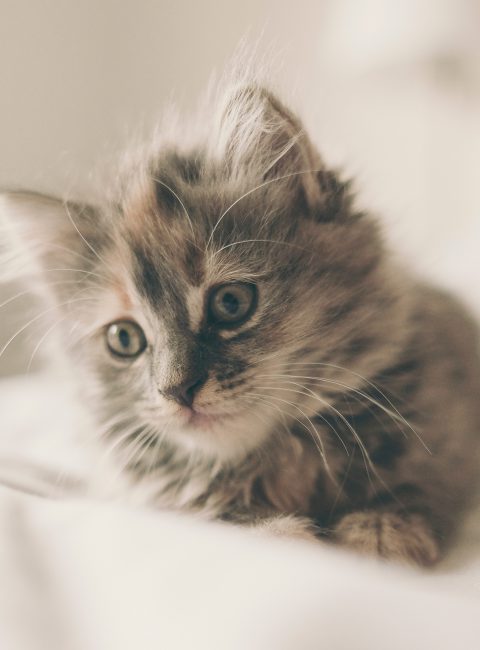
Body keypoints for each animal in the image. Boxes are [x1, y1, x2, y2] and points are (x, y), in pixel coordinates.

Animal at [2, 80, 480, 567]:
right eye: (124, 338)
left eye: (231, 303)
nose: (178, 391)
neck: (283, 459)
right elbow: (231, 522)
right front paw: (284, 534)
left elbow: (420, 483)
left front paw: (382, 531)